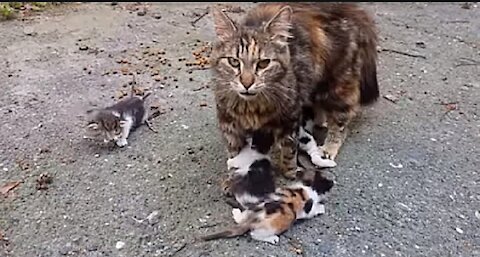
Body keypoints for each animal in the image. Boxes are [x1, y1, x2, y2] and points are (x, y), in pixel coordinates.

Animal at [202, 168, 334, 244]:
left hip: (251, 209)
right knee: (254, 235)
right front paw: (321, 208)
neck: (308, 184)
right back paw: (273, 239)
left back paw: (235, 211)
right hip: (282, 221)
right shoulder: (308, 209)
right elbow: (314, 210)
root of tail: (251, 220)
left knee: (240, 218)